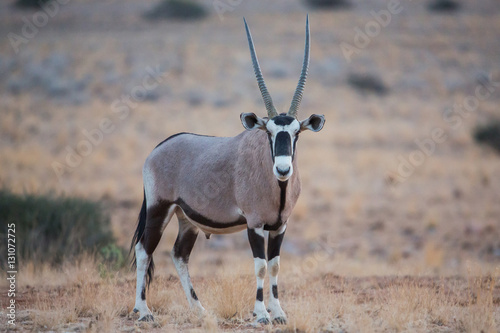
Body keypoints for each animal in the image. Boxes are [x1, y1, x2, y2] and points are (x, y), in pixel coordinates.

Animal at [131, 16, 324, 324]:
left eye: (296, 133)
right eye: (268, 132)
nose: (283, 169)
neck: (276, 187)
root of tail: (156, 150)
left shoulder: (280, 226)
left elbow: (275, 265)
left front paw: (279, 312)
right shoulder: (255, 224)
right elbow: (260, 265)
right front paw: (261, 314)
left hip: (186, 219)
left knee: (179, 254)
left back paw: (199, 309)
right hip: (159, 208)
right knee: (143, 250)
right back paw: (143, 310)